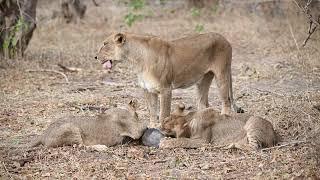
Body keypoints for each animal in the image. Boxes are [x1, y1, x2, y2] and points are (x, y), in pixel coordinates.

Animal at [96, 32, 241, 126]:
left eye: (105, 44)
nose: (95, 57)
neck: (136, 60)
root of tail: (224, 38)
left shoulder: (165, 89)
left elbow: (163, 113)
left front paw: (162, 130)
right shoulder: (148, 90)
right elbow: (152, 111)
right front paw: (152, 127)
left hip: (222, 74)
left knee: (226, 101)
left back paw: (223, 119)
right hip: (203, 80)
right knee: (203, 104)